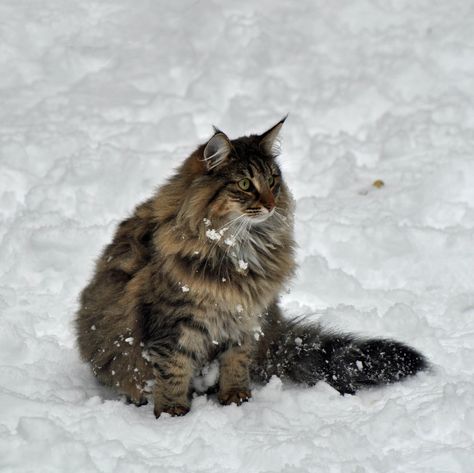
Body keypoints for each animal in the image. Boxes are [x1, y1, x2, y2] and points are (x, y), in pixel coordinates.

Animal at [76, 119, 428, 416]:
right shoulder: (174, 322)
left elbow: (236, 361)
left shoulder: (245, 316)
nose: (271, 203)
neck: (241, 247)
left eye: (272, 180)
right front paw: (173, 412)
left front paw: (236, 398)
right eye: (245, 184)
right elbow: (173, 369)